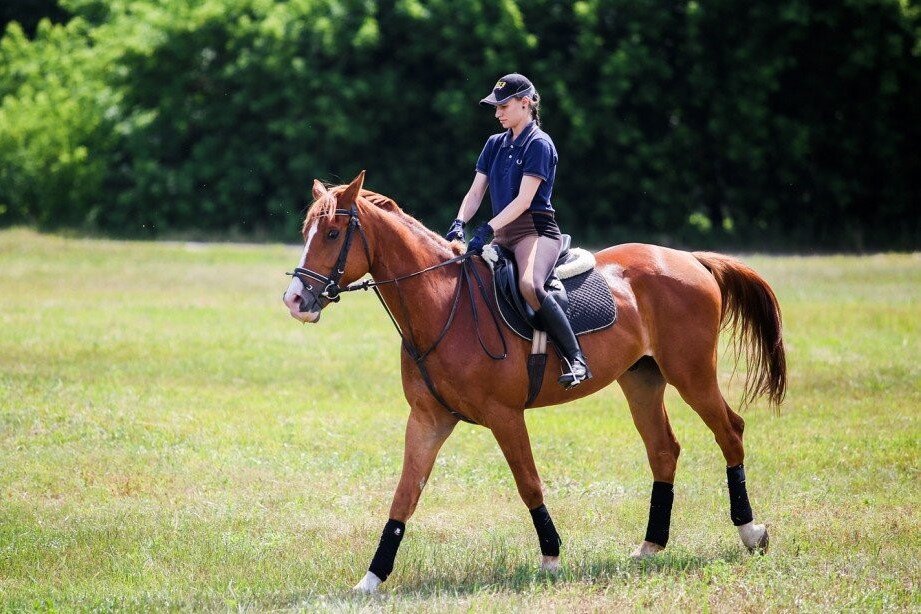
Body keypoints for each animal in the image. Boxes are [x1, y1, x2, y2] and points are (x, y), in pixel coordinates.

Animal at [278, 171, 784, 596]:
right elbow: (405, 496)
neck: (442, 305)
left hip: (691, 374)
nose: (295, 300)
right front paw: (371, 579)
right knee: (663, 451)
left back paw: (750, 531)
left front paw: (551, 558)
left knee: (730, 432)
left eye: (332, 234)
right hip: (642, 380)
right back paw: (650, 547)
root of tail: (690, 259)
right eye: (307, 233)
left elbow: (529, 484)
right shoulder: (428, 419)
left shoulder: (505, 416)